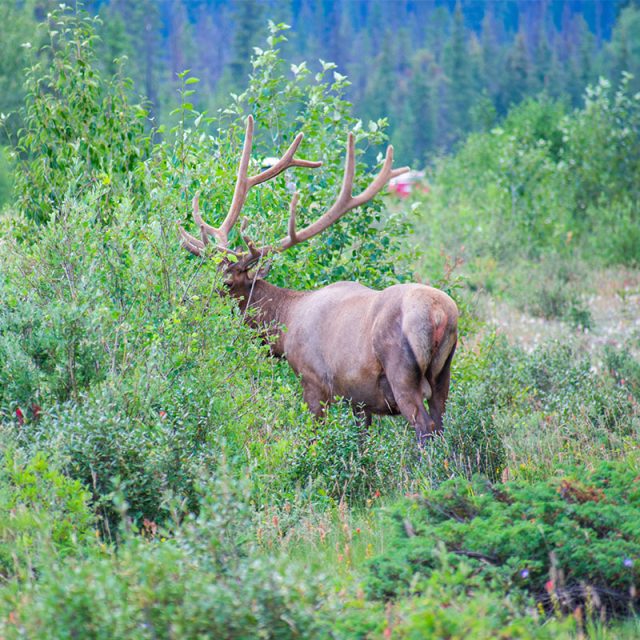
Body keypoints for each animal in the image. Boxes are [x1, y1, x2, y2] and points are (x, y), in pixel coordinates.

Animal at [180, 116, 458, 444]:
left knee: (425, 429)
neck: (284, 326)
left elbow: (314, 437)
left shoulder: (313, 379)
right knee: (441, 425)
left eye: (225, 282)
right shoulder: (358, 399)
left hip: (402, 371)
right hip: (443, 374)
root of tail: (441, 314)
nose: (188, 303)